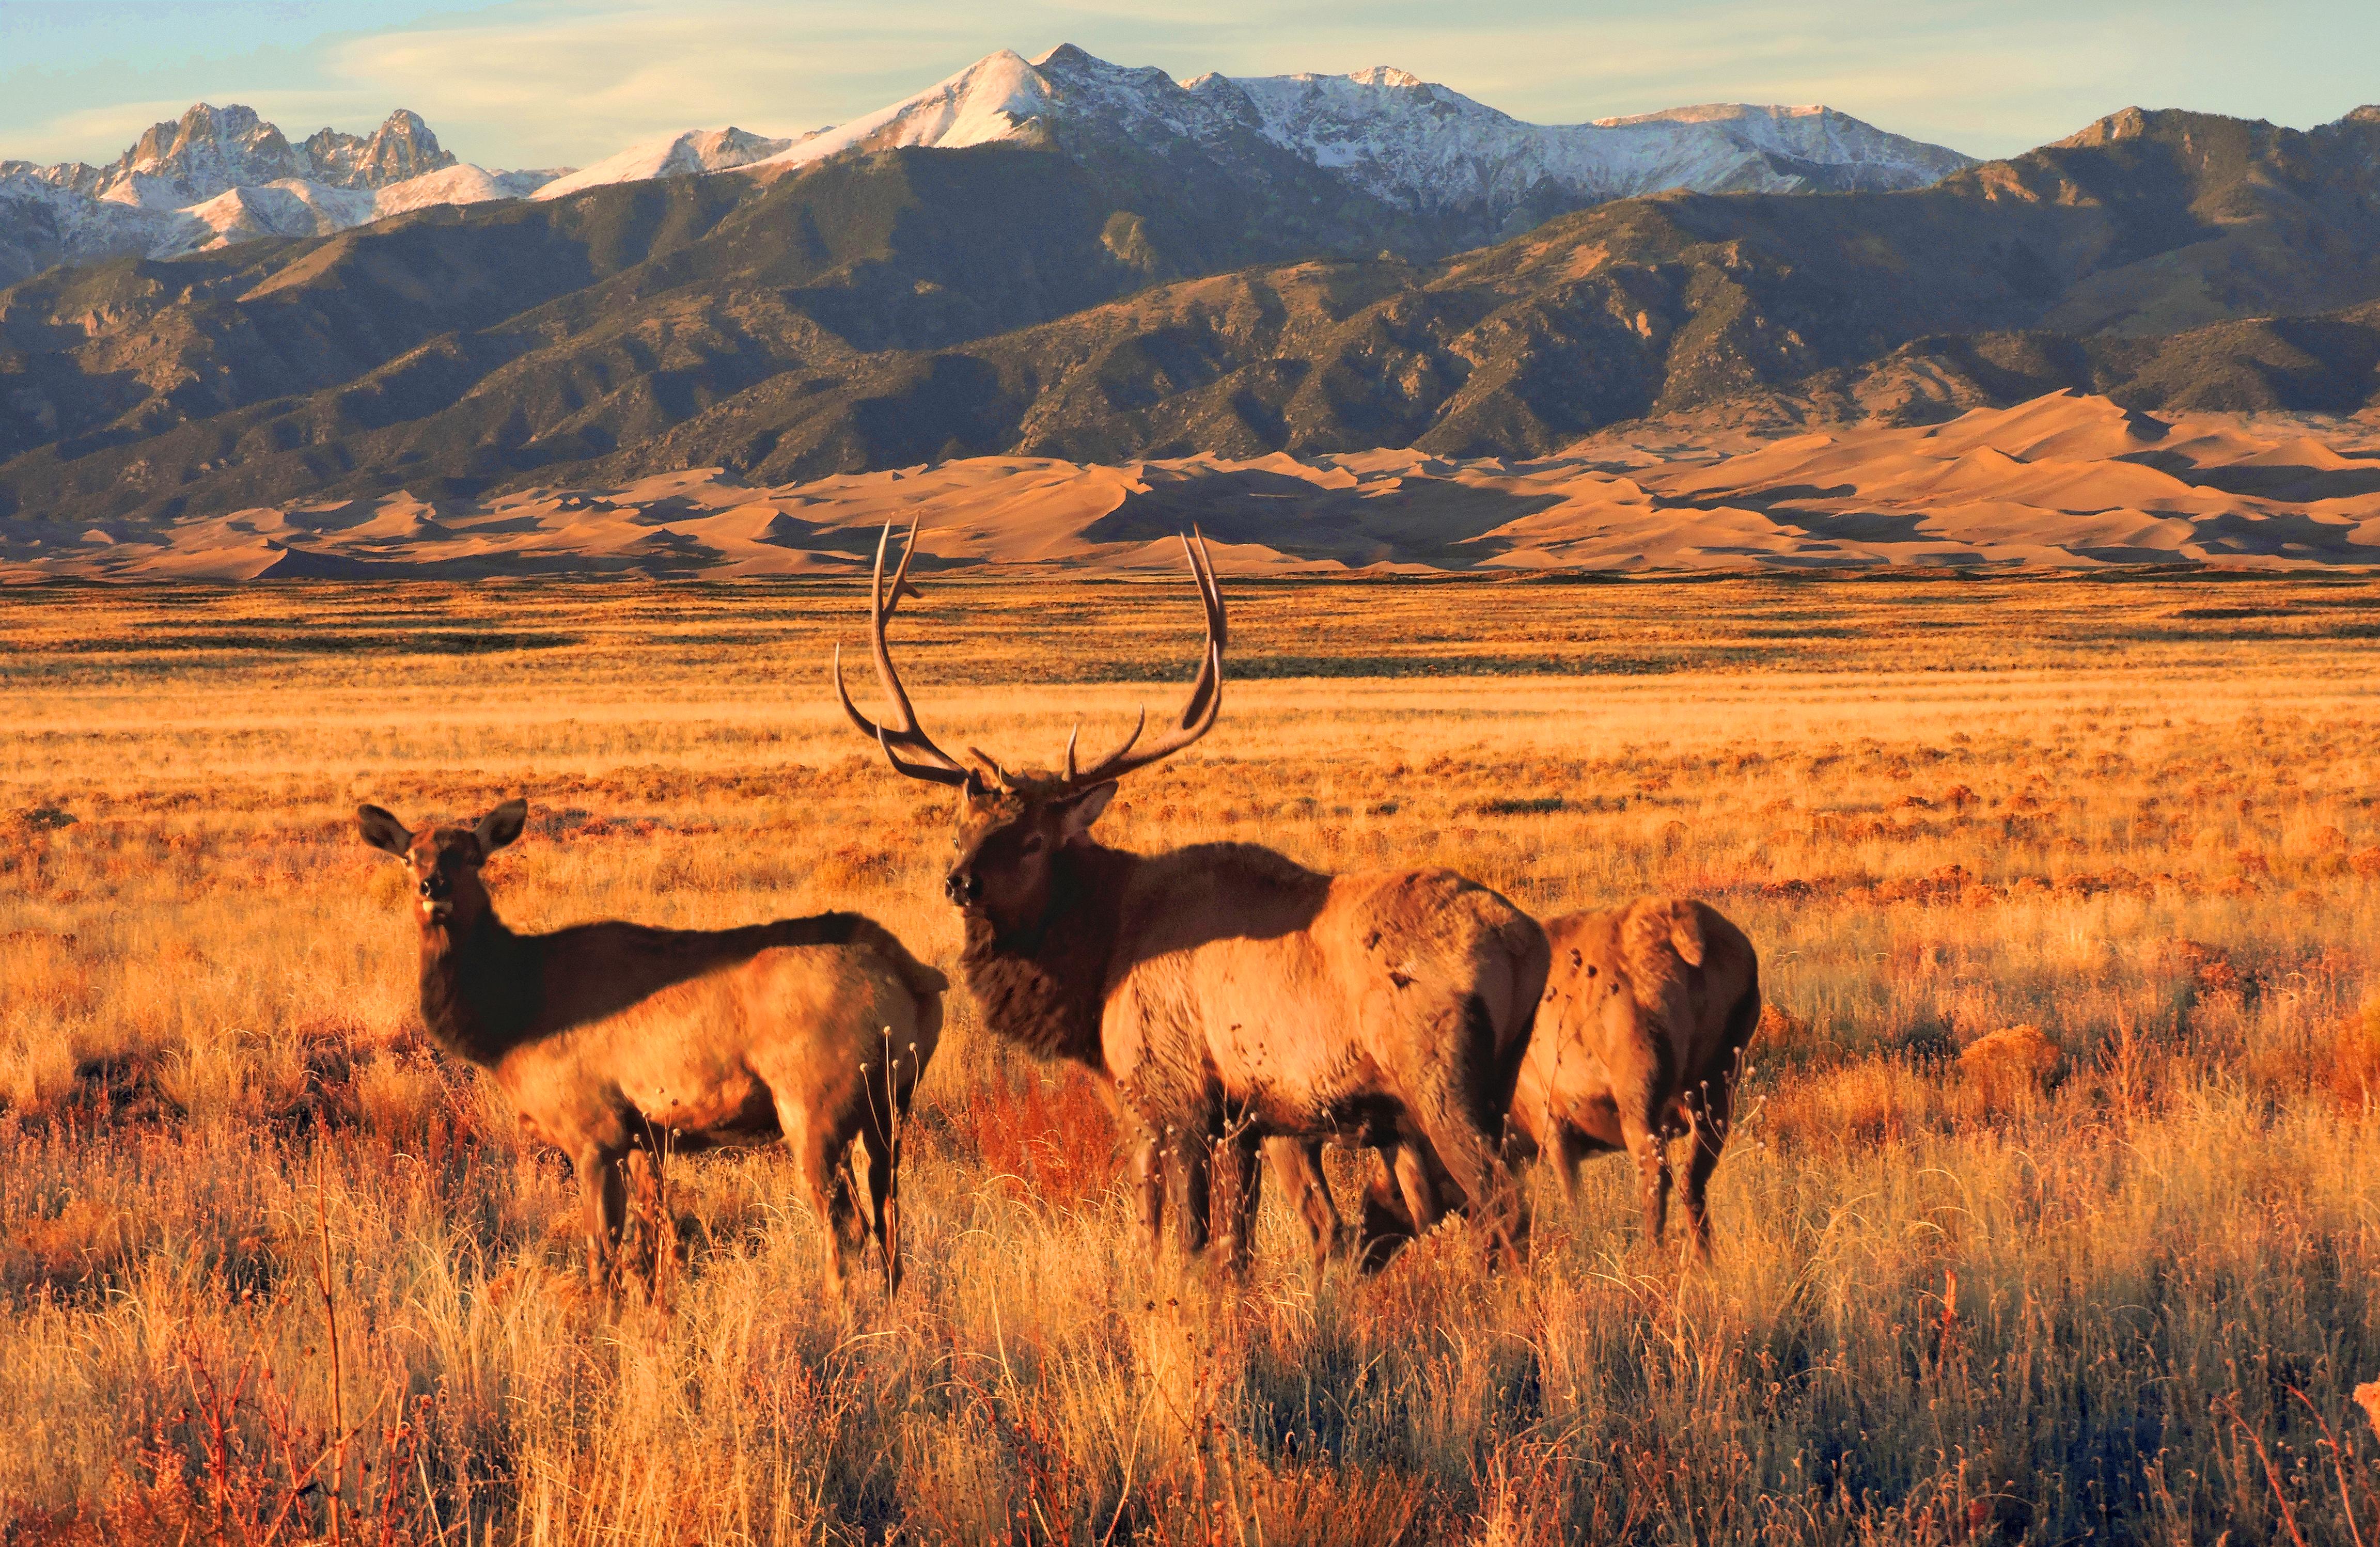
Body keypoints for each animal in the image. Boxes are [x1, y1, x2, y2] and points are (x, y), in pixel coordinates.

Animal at [354, 795, 947, 1285]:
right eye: (410, 857)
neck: (511, 1018)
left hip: (815, 1102)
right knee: (891, 1220)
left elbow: (602, 1253)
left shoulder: (593, 1128)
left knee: (846, 1226)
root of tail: (917, 976)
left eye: (474, 856)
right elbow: (651, 1252)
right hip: (890, 1107)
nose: (433, 889)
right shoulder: (645, 1134)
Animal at [828, 524, 1552, 1275]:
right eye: (961, 829)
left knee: (1501, 1201)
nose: (960, 882)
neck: (1098, 970)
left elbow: (1176, 1236)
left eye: (1033, 841)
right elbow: (1238, 1245)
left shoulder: (1171, 1095)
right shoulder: (1249, 1119)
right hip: (1488, 1084)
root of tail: (1527, 946)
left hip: (1439, 1077)